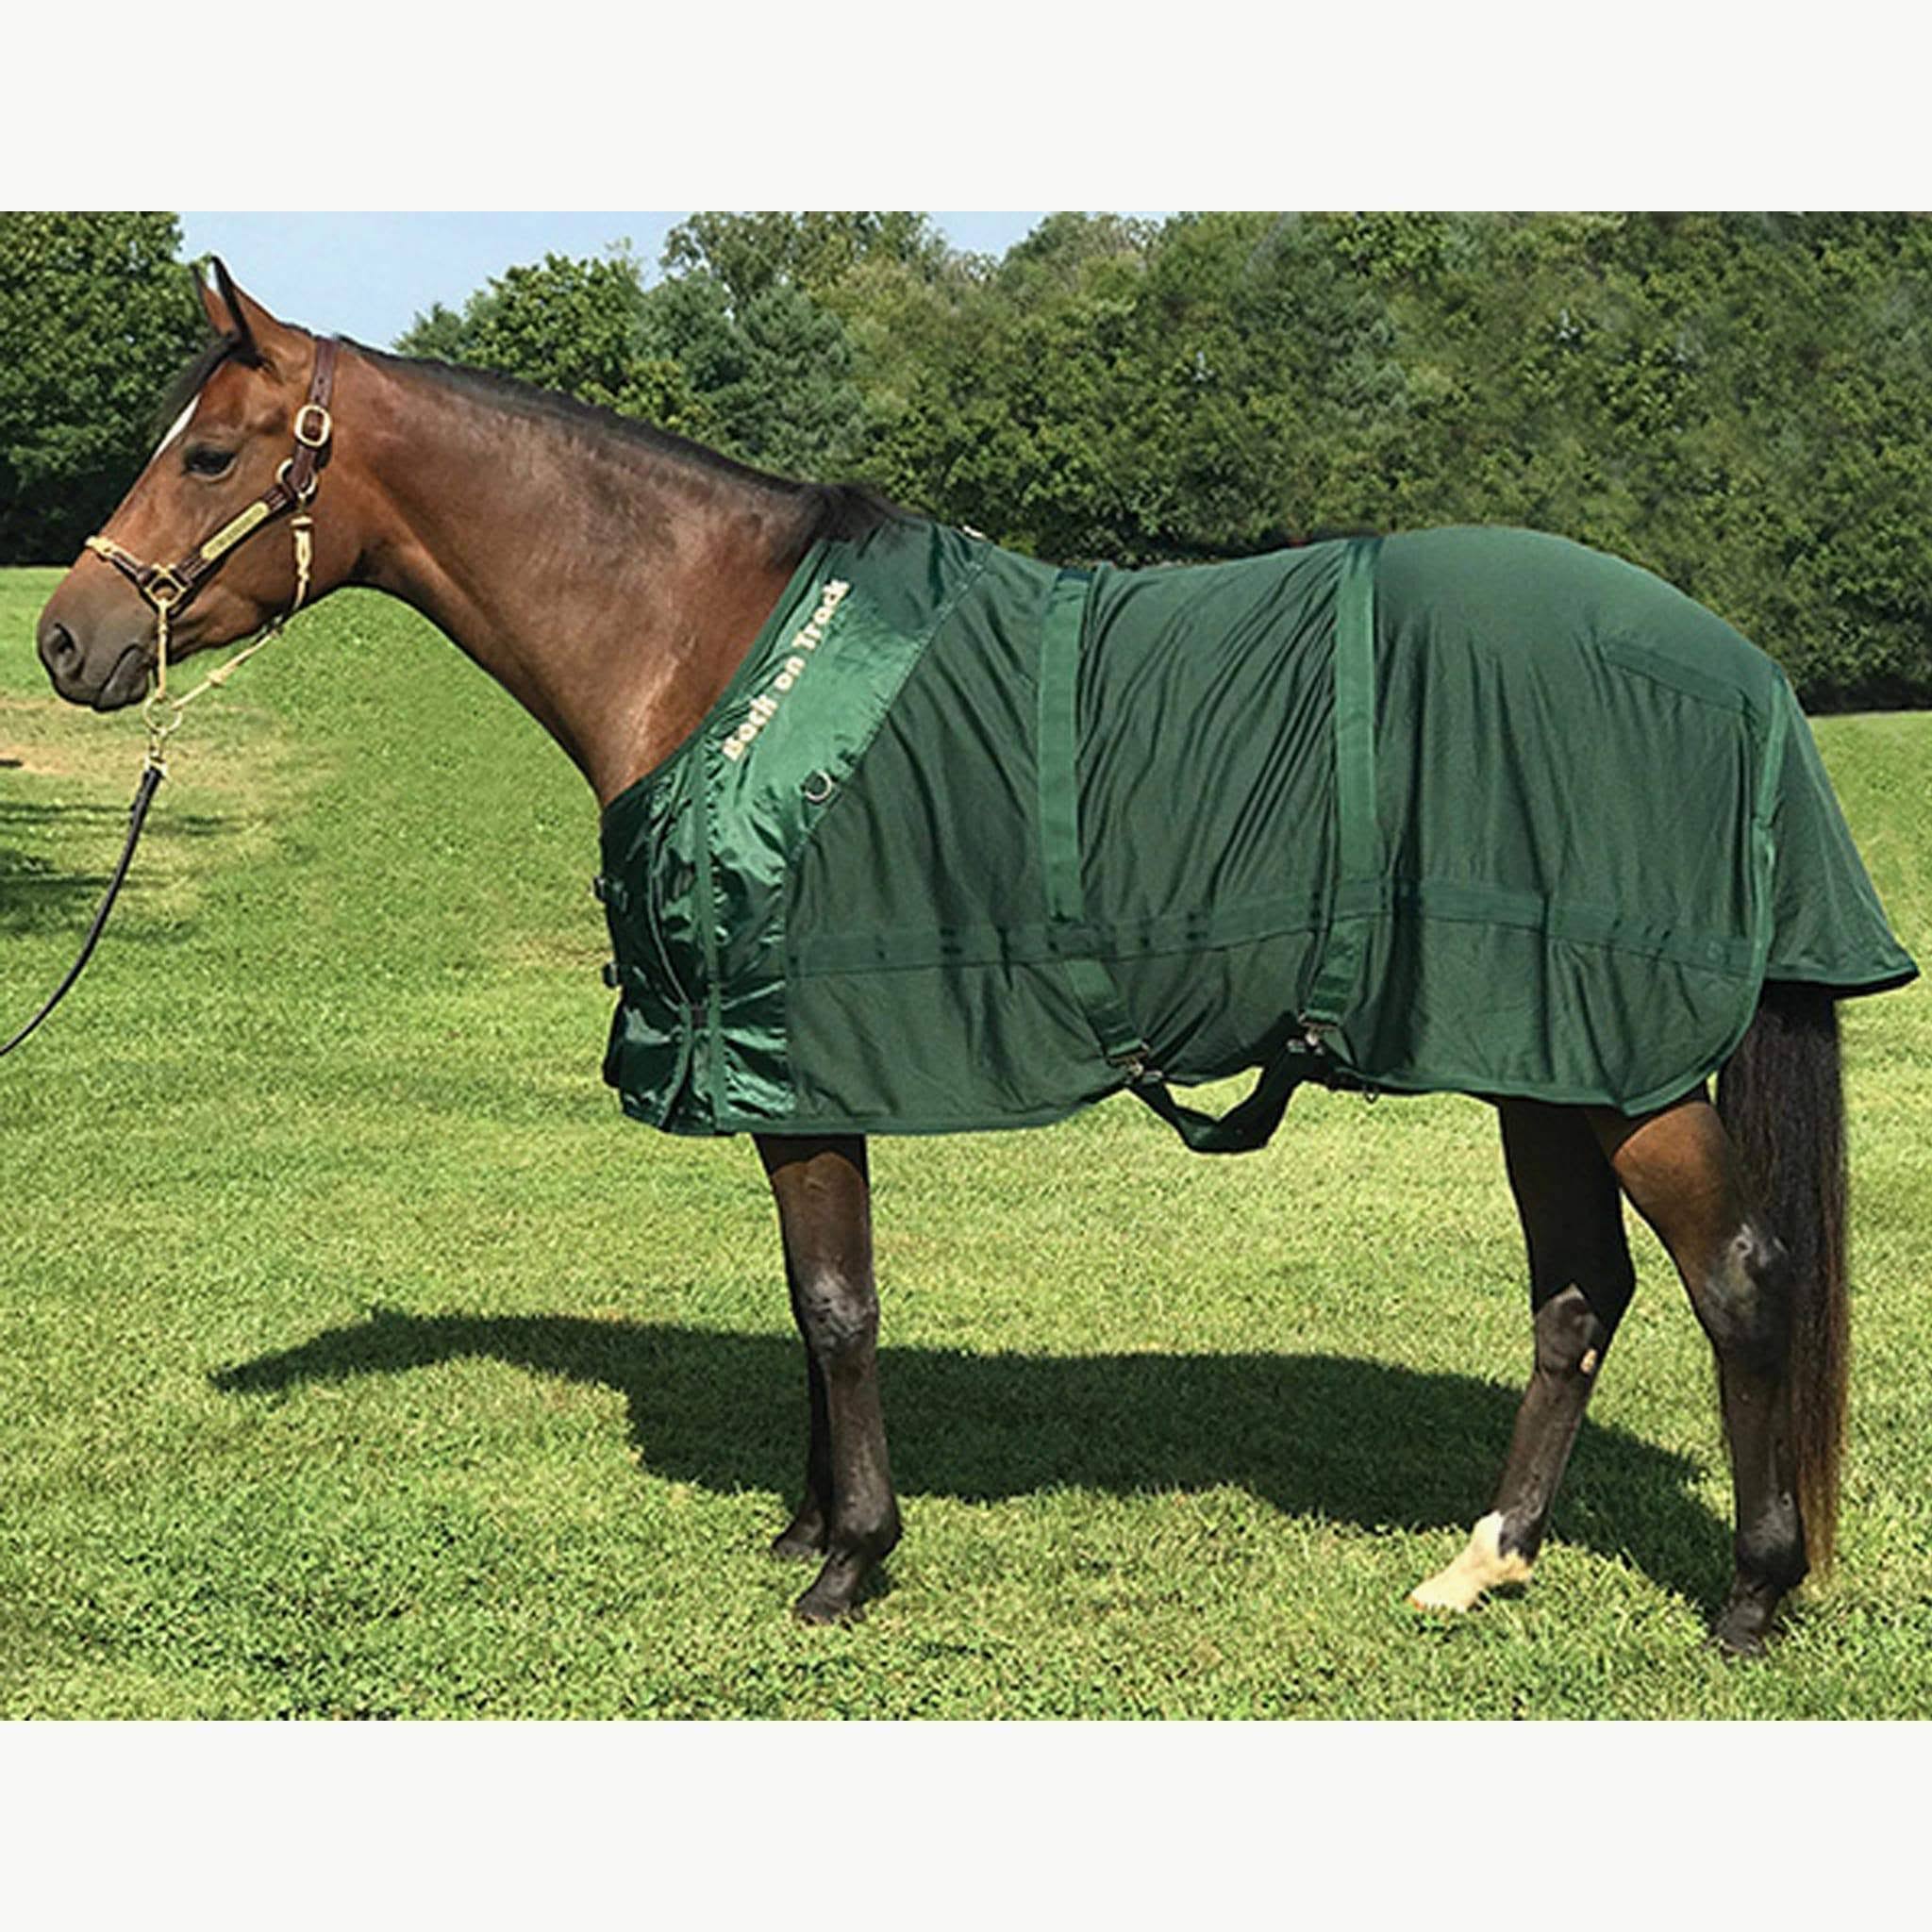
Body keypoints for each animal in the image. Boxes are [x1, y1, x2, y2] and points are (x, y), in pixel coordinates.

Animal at [32, 262, 1916, 1654]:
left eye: (213, 457)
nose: (69, 638)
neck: (706, 638)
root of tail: (1737, 669)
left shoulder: (792, 1042)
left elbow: (836, 1303)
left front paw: (848, 1556)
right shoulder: (792, 1057)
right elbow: (811, 1299)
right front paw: (810, 1515)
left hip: (1619, 1061)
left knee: (1739, 1275)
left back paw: (1750, 1594)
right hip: (1542, 1050)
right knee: (1579, 1294)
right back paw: (1487, 1558)